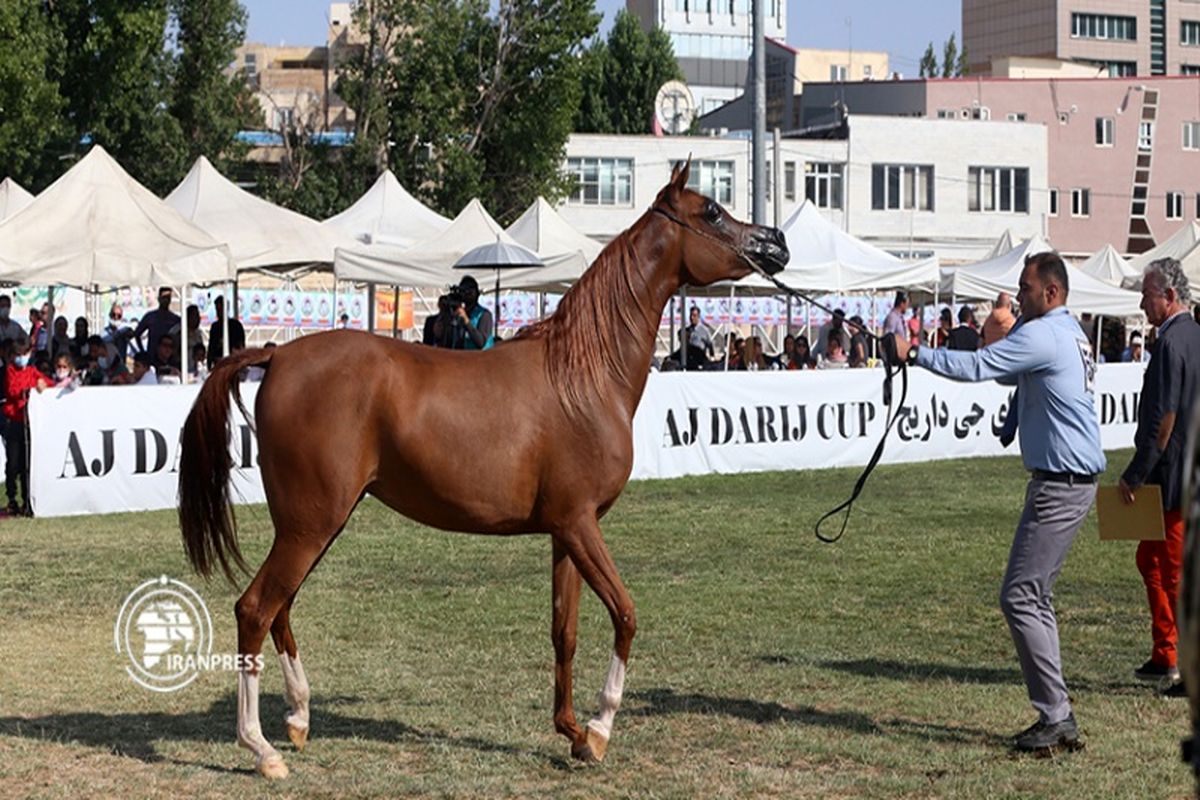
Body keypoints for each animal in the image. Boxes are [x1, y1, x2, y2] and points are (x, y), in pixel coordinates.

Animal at [175, 159, 787, 777]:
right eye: (711, 211)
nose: (776, 242)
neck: (583, 377)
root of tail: (277, 355)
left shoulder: (567, 531)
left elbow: (564, 631)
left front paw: (571, 732)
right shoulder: (580, 525)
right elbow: (626, 615)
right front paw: (599, 728)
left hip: (313, 525)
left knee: (280, 610)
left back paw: (299, 717)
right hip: (310, 526)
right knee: (255, 610)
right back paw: (262, 748)